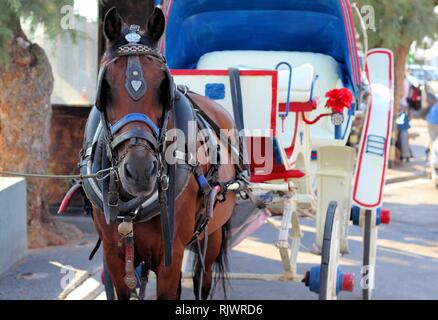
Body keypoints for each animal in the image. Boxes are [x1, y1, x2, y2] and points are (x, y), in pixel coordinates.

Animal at [90, 8, 238, 300]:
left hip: (212, 236)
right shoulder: (114, 255)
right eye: (106, 86)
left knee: (203, 279)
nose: (139, 171)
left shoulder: (171, 254)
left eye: (162, 85)